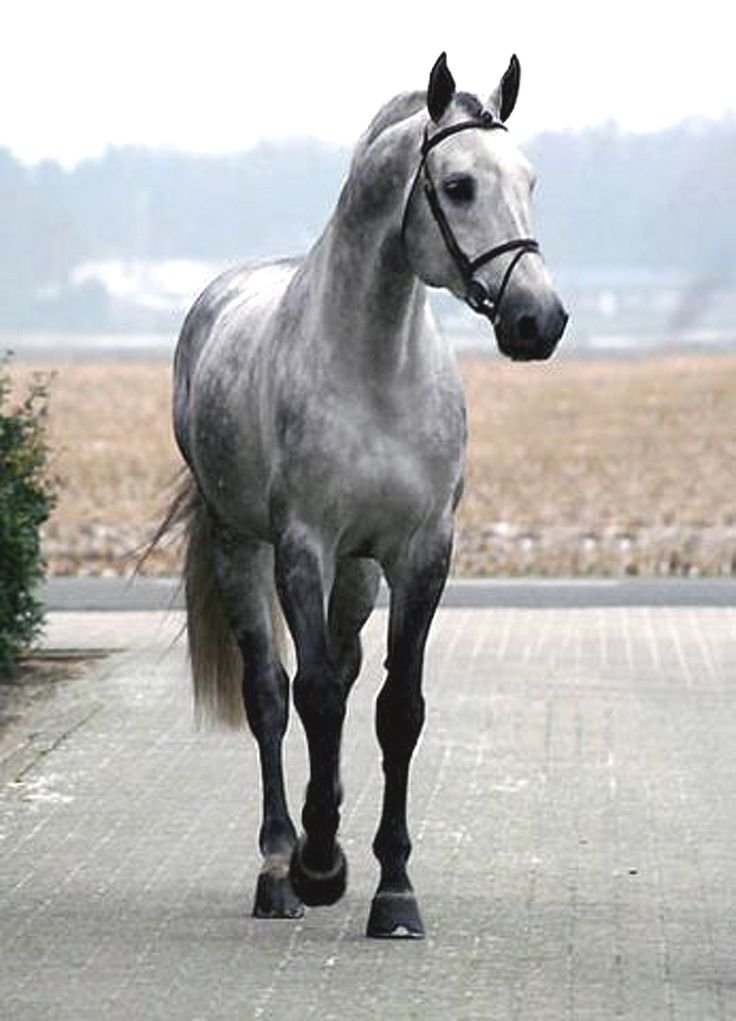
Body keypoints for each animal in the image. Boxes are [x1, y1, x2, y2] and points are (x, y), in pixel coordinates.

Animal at [168, 51, 567, 935]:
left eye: (529, 178)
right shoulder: (303, 545)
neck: (377, 368)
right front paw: (319, 866)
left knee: (347, 672)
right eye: (457, 184)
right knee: (271, 694)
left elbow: (396, 707)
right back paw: (281, 866)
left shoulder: (420, 552)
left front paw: (392, 886)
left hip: (358, 570)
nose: (539, 319)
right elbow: (312, 693)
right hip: (239, 544)